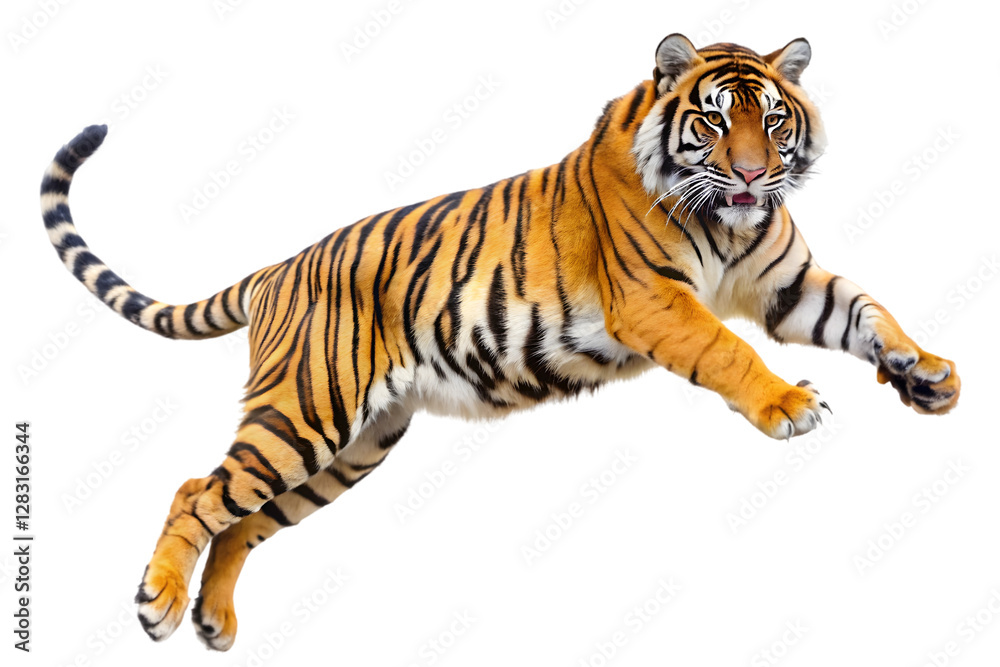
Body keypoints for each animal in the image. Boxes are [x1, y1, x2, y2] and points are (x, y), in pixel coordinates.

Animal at [39, 34, 960, 650]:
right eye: (711, 121)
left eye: (772, 120)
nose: (751, 175)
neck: (731, 225)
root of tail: (276, 268)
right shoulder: (656, 299)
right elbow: (732, 350)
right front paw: (789, 402)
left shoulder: (787, 286)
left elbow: (869, 311)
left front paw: (927, 372)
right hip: (304, 412)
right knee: (198, 490)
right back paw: (158, 602)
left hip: (351, 447)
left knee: (239, 521)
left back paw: (214, 619)